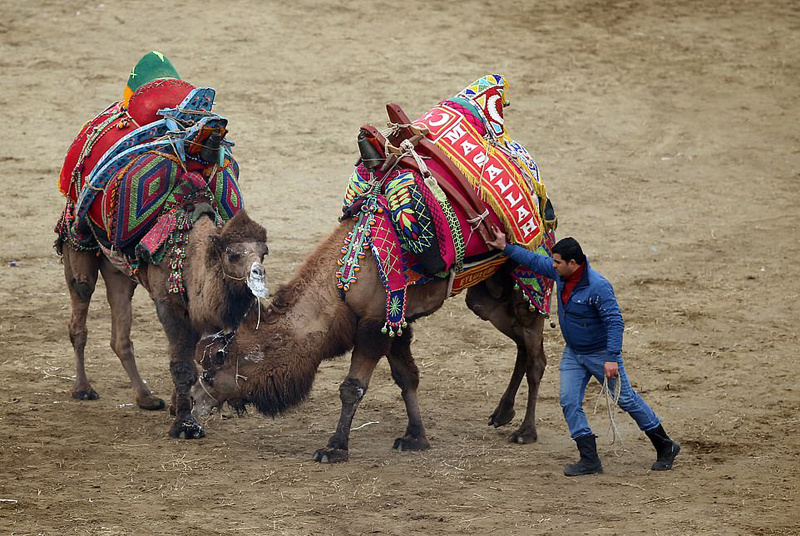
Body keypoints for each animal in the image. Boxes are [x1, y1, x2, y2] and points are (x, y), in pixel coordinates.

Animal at [57, 209, 268, 440]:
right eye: (233, 254)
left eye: (264, 253)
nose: (258, 273)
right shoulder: (168, 305)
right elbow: (183, 366)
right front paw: (185, 426)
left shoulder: (201, 315)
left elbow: (201, 358)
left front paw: (177, 407)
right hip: (78, 247)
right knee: (80, 307)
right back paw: (83, 389)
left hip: (118, 271)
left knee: (120, 336)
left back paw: (146, 398)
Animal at [191, 218, 548, 460]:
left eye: (210, 371)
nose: (193, 403)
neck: (338, 285)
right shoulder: (395, 323)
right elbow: (406, 377)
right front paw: (415, 437)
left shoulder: (374, 324)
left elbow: (352, 388)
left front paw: (334, 447)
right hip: (487, 295)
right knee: (520, 342)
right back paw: (502, 413)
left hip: (525, 278)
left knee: (536, 356)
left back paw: (526, 431)